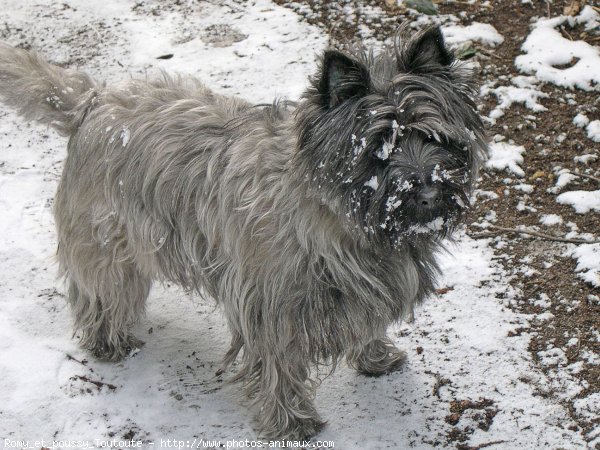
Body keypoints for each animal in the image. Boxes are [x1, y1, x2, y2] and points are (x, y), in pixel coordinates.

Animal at [0, 27, 488, 440]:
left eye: (435, 137)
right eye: (378, 150)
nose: (427, 192)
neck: (337, 218)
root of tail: (94, 100)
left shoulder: (366, 284)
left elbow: (367, 319)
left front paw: (374, 356)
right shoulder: (271, 304)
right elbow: (278, 364)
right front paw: (292, 421)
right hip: (107, 241)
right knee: (102, 290)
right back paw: (108, 340)